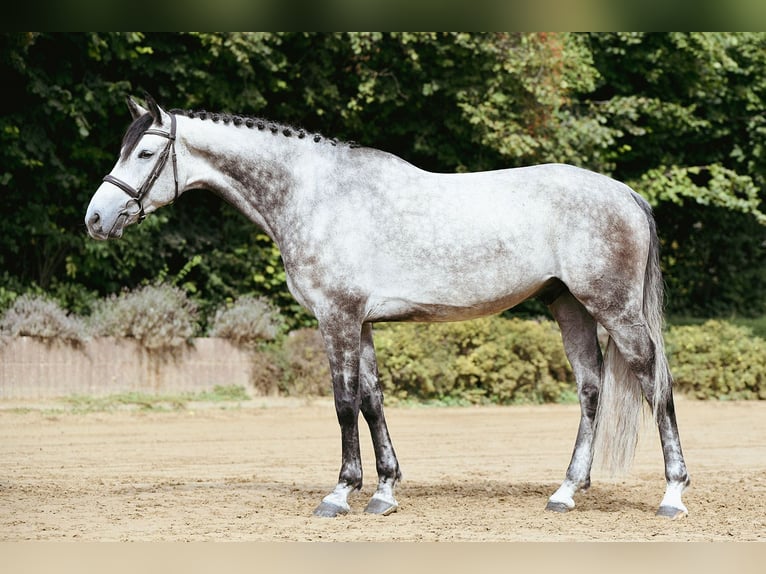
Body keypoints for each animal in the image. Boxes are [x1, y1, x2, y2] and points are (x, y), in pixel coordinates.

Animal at [85, 94, 690, 520]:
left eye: (144, 152)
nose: (95, 218)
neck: (316, 195)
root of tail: (625, 193)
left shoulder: (337, 318)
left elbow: (344, 402)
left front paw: (340, 493)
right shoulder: (363, 323)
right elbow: (374, 401)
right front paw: (384, 491)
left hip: (614, 309)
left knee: (654, 383)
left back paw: (672, 495)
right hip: (570, 306)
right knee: (591, 389)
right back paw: (565, 491)